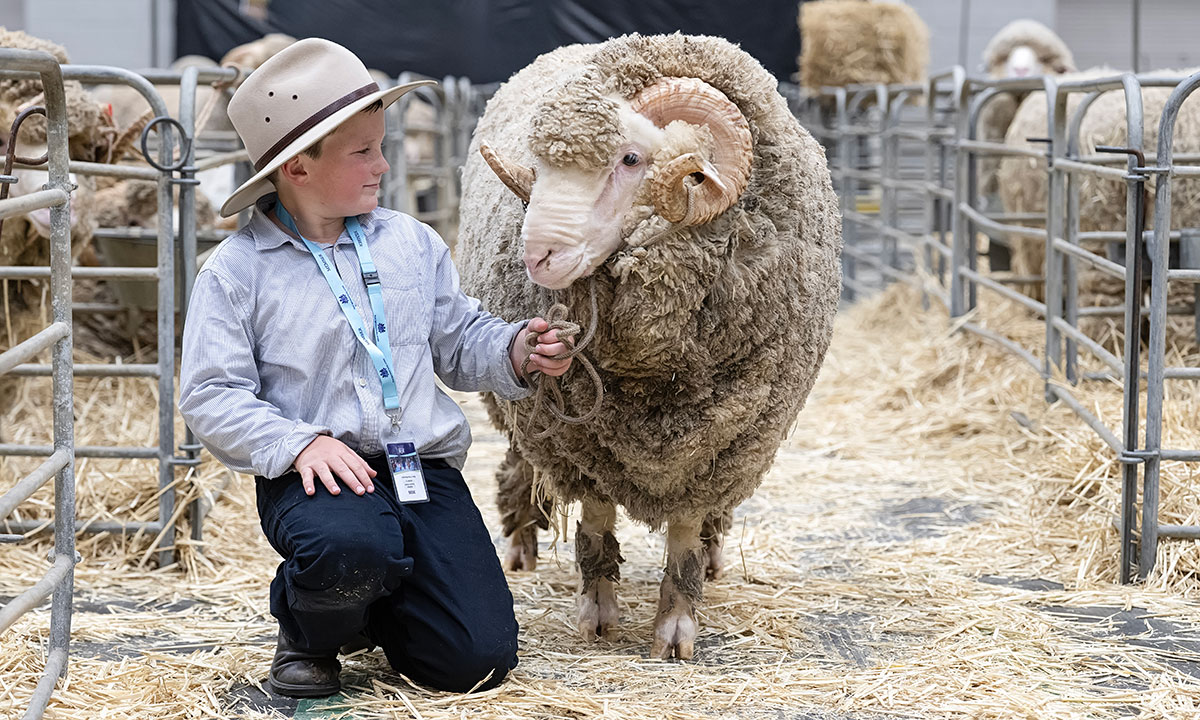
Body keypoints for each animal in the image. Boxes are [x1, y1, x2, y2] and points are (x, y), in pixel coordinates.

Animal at [457, 33, 841, 659]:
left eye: (631, 159)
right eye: (541, 165)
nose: (537, 256)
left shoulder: (720, 442)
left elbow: (684, 530)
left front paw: (676, 626)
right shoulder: (579, 442)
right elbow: (594, 520)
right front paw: (597, 612)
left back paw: (713, 554)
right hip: (523, 415)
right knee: (519, 462)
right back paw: (520, 543)